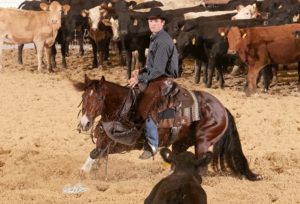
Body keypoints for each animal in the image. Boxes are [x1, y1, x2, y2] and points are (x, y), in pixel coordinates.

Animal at [72, 75, 260, 180]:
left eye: (100, 97)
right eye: (83, 97)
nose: (85, 123)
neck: (126, 108)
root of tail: (223, 109)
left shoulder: (125, 144)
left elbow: (95, 152)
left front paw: (83, 172)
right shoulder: (106, 140)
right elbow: (98, 152)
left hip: (203, 141)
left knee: (202, 166)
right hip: (181, 142)